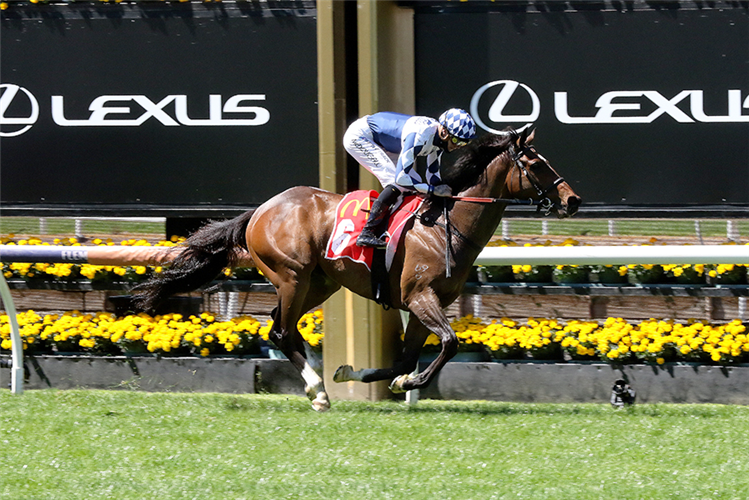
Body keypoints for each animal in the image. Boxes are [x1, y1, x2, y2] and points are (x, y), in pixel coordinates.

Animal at [134, 127, 580, 412]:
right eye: (535, 163)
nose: (572, 200)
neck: (443, 226)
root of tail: (260, 210)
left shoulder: (424, 302)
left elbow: (406, 359)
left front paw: (363, 374)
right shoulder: (419, 296)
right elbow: (450, 343)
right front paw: (408, 385)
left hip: (320, 283)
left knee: (282, 326)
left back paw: (318, 383)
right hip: (292, 276)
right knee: (280, 330)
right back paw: (317, 392)